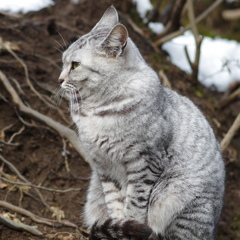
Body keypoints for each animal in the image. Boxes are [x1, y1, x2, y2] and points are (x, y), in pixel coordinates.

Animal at [58, 5, 225, 240]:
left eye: (75, 65)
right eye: (64, 61)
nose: (59, 79)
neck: (95, 111)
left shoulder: (144, 162)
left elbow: (134, 207)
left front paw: (129, 227)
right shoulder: (104, 167)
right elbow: (115, 204)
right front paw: (120, 226)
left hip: (180, 200)